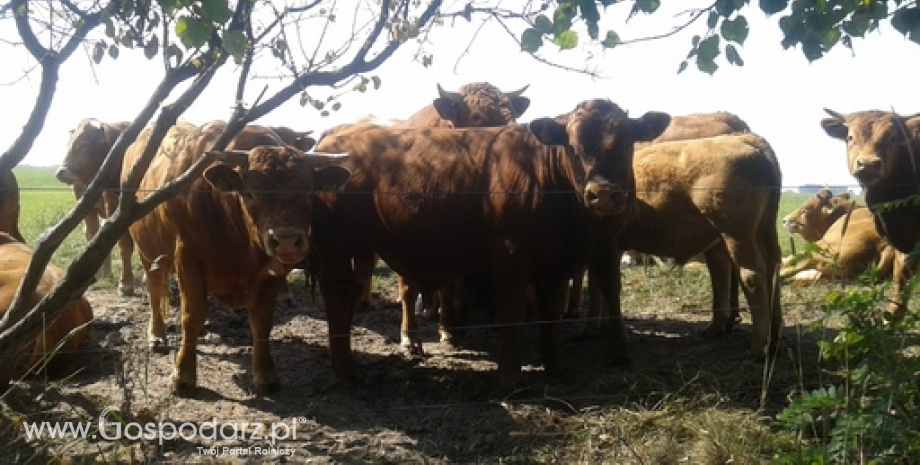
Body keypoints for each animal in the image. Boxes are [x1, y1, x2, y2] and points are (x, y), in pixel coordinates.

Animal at [55, 118, 136, 296]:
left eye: (84, 145)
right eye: (68, 144)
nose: (60, 172)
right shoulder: (112, 206)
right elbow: (124, 244)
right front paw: (126, 283)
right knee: (94, 234)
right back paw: (101, 273)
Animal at [122, 120, 348, 396]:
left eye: (308, 192)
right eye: (250, 193)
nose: (286, 240)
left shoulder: (272, 271)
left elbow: (262, 321)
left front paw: (265, 374)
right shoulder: (187, 259)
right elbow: (192, 316)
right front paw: (183, 375)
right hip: (147, 250)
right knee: (155, 289)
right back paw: (157, 335)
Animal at [310, 99, 668, 386]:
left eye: (627, 143)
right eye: (572, 146)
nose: (603, 194)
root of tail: (333, 141)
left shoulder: (557, 264)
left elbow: (551, 315)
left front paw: (556, 367)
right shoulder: (511, 255)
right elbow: (510, 310)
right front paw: (508, 374)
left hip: (361, 247)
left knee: (355, 290)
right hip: (336, 244)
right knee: (339, 294)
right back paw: (346, 371)